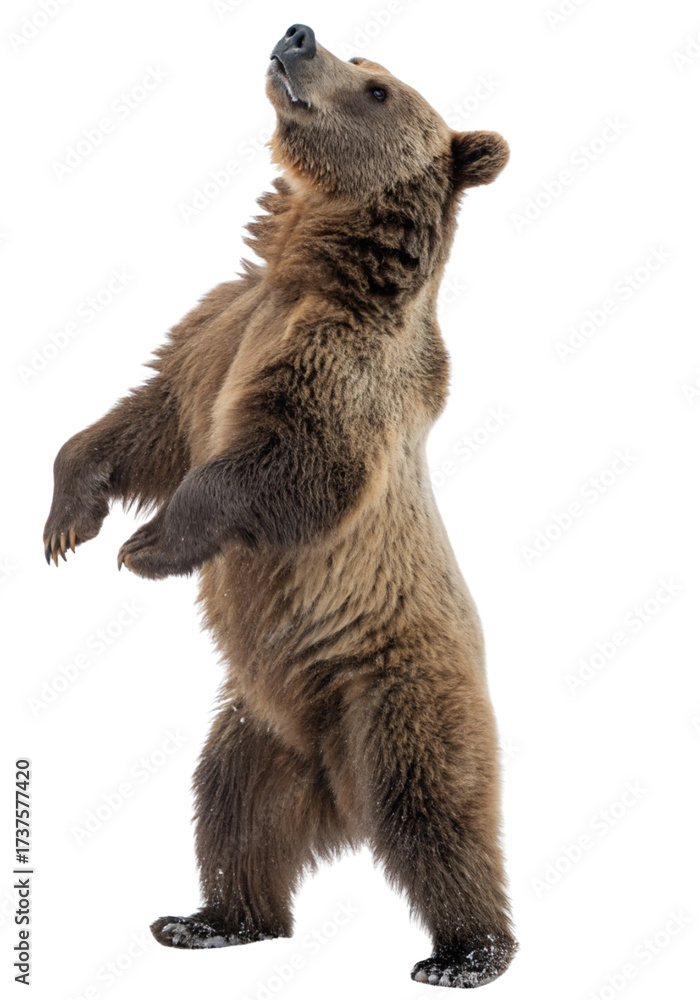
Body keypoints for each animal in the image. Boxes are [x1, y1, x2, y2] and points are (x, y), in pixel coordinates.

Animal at [43, 24, 515, 989]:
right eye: (361, 55)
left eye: (379, 90)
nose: (298, 36)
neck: (310, 257)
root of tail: (337, 791)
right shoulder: (221, 328)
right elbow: (146, 420)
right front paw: (69, 519)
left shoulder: (343, 367)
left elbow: (284, 462)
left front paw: (147, 545)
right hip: (259, 722)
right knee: (232, 812)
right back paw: (208, 919)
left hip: (394, 687)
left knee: (433, 810)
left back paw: (466, 954)